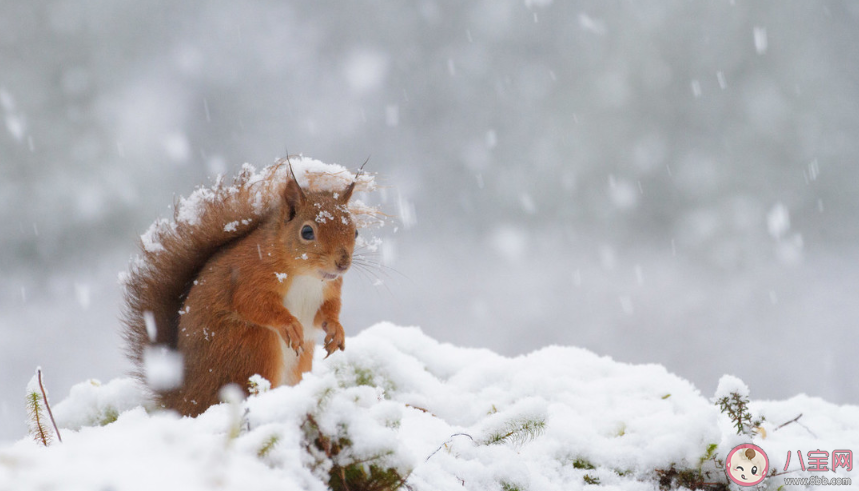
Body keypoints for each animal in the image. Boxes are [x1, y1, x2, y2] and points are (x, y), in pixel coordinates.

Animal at [122, 160, 372, 418]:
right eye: (307, 232)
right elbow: (251, 302)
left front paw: (336, 329)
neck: (308, 276)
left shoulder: (328, 291)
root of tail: (183, 401)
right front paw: (289, 324)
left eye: (355, 231)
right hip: (253, 347)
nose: (343, 263)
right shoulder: (250, 275)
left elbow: (325, 313)